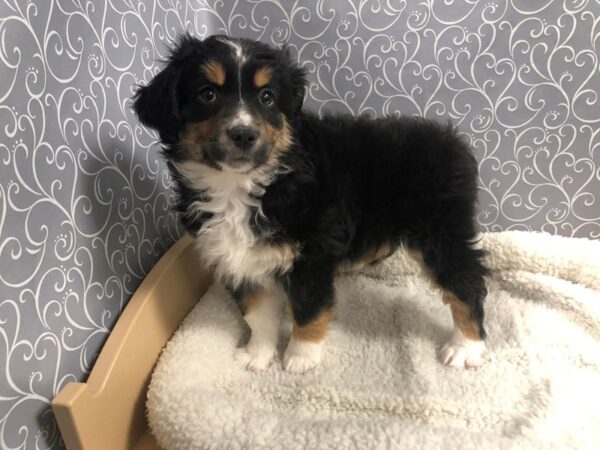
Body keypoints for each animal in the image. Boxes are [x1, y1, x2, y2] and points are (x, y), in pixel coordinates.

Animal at [132, 34, 488, 372]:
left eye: (267, 97)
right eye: (207, 94)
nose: (244, 134)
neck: (242, 188)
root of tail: (453, 140)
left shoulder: (311, 255)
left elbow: (308, 309)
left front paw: (300, 358)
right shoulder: (239, 259)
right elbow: (257, 315)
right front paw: (257, 356)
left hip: (440, 232)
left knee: (468, 282)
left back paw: (466, 348)